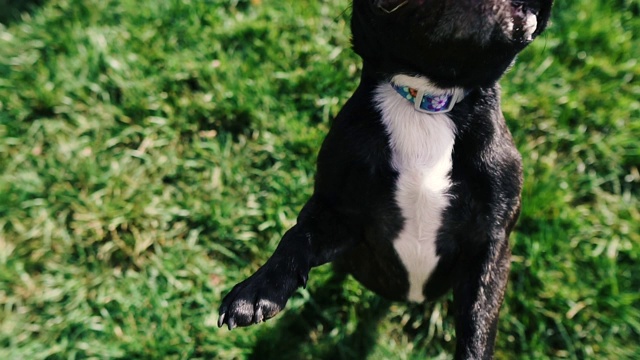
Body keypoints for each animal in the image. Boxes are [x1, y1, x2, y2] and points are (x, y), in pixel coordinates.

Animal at [219, 1, 552, 358]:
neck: (428, 100)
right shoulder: (338, 216)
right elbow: (297, 238)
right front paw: (257, 289)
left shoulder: (490, 243)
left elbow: (479, 323)